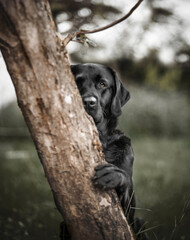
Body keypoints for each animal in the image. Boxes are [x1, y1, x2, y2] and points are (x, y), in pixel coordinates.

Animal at [70, 62, 147, 239]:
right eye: (77, 82)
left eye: (102, 84)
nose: (89, 102)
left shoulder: (129, 212)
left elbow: (124, 179)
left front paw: (113, 174)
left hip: (139, 222)